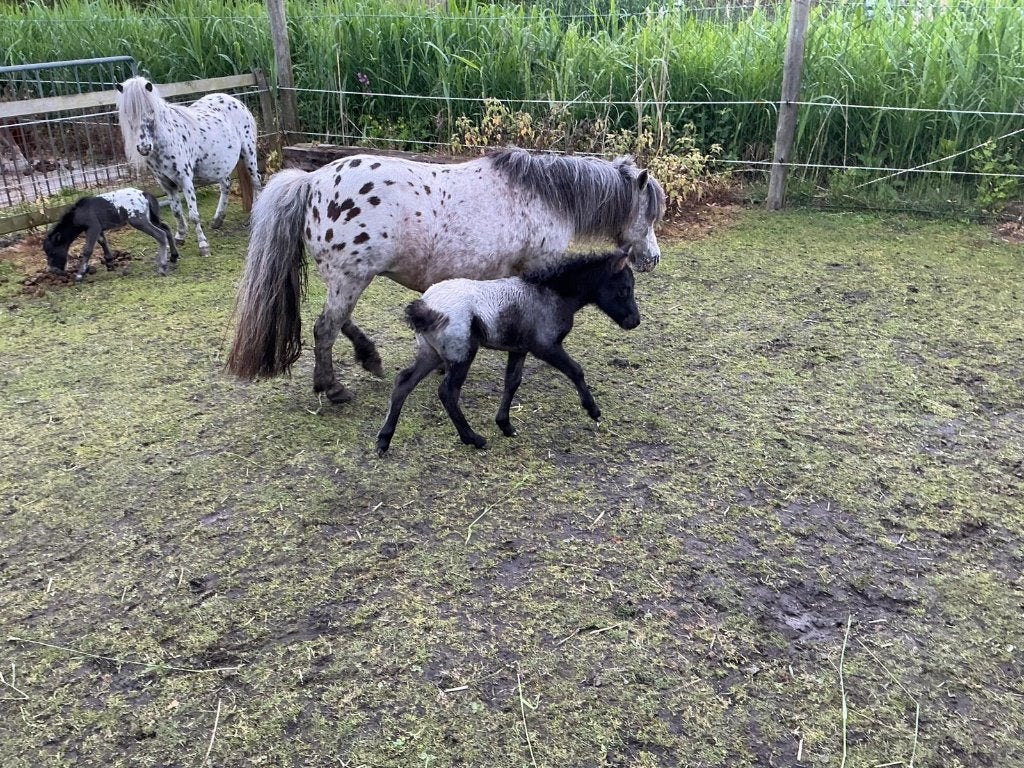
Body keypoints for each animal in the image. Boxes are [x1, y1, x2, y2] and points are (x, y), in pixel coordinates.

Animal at [42, 187, 179, 281]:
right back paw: (174, 256)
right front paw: (109, 263)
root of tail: (144, 194)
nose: (53, 270)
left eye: (52, 252)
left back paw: (162, 267)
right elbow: (102, 241)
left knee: (161, 234)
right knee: (166, 229)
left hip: (139, 220)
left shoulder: (93, 227)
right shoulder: (99, 229)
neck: (79, 212)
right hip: (152, 218)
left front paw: (80, 274)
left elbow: (87, 250)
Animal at [115, 76, 262, 257]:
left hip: (249, 154)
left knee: (256, 182)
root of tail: (235, 101)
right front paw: (180, 237)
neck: (166, 141)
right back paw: (217, 220)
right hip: (219, 165)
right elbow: (176, 211)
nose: (144, 148)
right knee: (226, 185)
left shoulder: (185, 180)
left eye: (151, 111)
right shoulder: (166, 183)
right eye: (127, 114)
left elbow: (193, 214)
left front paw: (203, 246)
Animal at [226, 147, 665, 405]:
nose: (653, 259)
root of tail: (312, 181)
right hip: (351, 278)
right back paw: (332, 388)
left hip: (347, 279)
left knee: (338, 322)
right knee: (325, 328)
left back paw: (369, 358)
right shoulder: (534, 269)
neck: (543, 195)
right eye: (650, 215)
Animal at [375, 250, 640, 454]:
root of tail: (425, 306)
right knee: (447, 392)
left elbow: (512, 382)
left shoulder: (519, 349)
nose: (634, 322)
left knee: (404, 382)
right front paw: (593, 410)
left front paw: (505, 424)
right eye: (625, 289)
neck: (550, 292)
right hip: (462, 355)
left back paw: (383, 440)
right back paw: (473, 438)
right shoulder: (546, 347)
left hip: (431, 353)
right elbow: (576, 370)